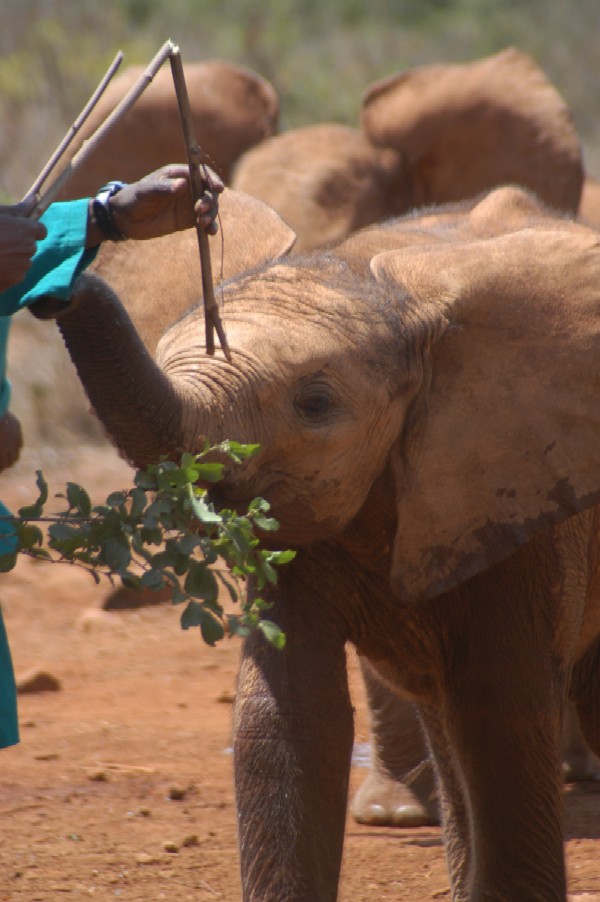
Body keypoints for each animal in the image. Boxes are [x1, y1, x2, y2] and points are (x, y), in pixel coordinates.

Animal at [34, 187, 600, 900]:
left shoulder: (517, 486)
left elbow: (501, 712)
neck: (385, 294)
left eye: (315, 404)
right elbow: (290, 717)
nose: (55, 287)